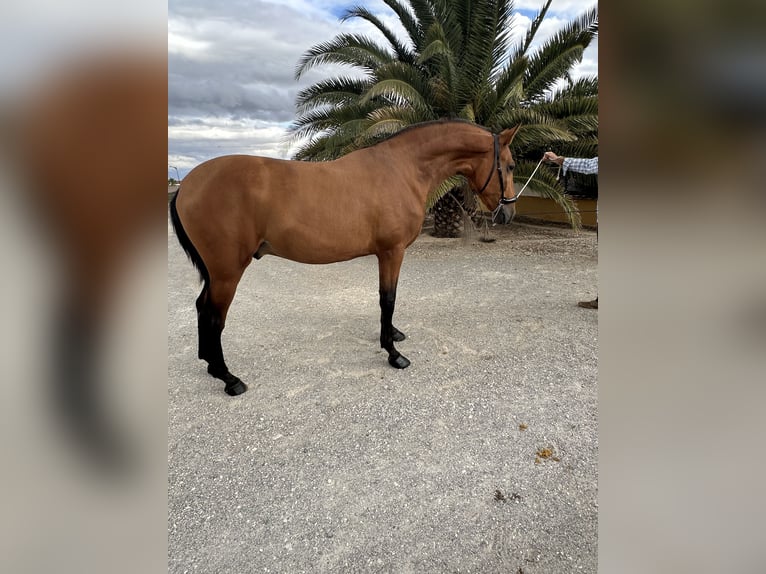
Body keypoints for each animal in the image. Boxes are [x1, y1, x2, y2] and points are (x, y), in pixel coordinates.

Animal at [172, 118, 520, 396]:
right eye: (510, 165)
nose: (507, 214)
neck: (402, 169)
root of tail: (186, 185)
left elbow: (388, 299)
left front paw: (394, 334)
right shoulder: (391, 252)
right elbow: (388, 299)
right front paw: (393, 354)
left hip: (216, 273)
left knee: (202, 307)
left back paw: (210, 365)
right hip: (228, 272)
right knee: (214, 317)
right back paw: (229, 378)